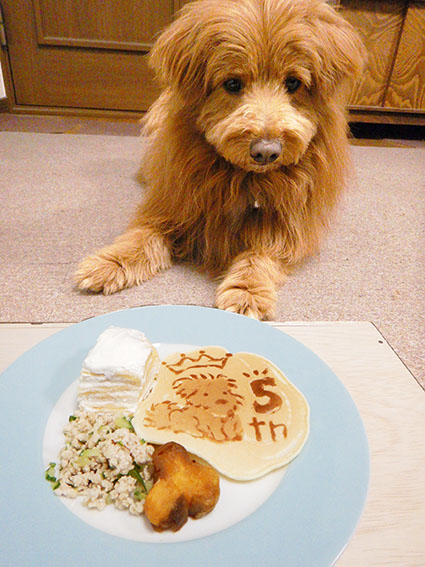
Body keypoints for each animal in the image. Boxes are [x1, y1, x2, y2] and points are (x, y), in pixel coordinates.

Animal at [73, 0, 364, 320]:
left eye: (293, 83)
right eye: (233, 83)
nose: (266, 151)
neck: (243, 178)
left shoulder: (288, 227)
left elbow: (259, 256)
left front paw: (246, 293)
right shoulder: (172, 205)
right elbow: (142, 236)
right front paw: (108, 264)